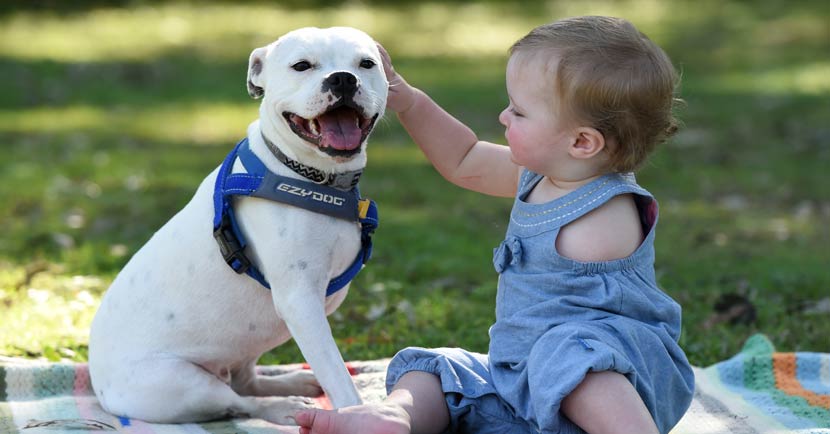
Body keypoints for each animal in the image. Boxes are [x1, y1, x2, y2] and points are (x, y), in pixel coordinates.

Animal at [87, 25, 390, 426]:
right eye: (302, 66)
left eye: (366, 64)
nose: (342, 78)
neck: (311, 176)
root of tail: (98, 385)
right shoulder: (301, 303)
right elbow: (338, 375)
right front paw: (359, 415)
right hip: (181, 386)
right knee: (238, 400)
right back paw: (285, 407)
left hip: (247, 340)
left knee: (246, 381)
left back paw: (291, 384)